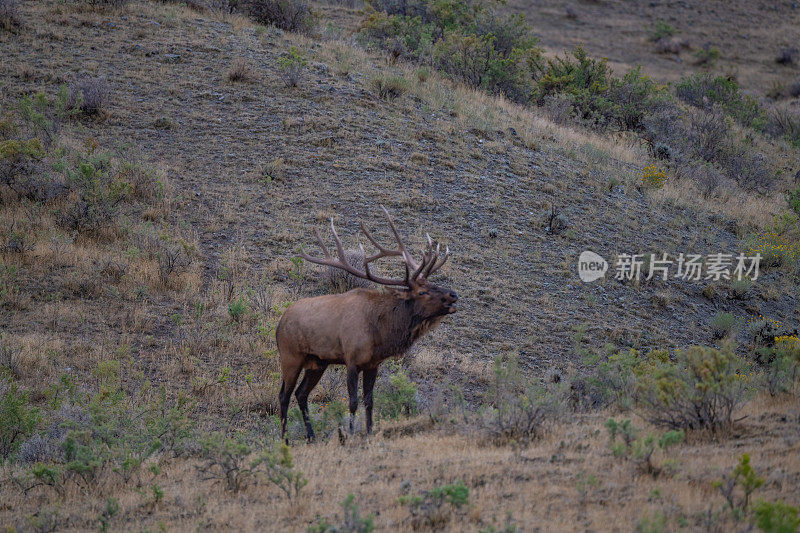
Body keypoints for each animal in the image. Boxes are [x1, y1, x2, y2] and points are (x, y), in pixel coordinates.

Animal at [278, 206, 460, 442]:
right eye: (422, 292)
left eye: (432, 283)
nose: (453, 295)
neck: (381, 334)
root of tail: (279, 322)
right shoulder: (352, 359)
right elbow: (353, 401)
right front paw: (349, 434)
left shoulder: (373, 364)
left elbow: (369, 401)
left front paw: (370, 432)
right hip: (291, 356)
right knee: (284, 395)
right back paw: (285, 440)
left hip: (318, 361)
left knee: (301, 394)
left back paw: (311, 437)